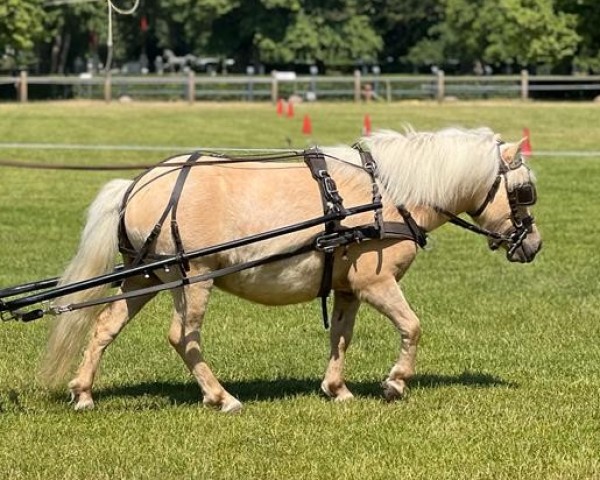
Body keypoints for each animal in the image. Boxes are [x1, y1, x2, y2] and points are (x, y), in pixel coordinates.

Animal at [39, 127, 540, 412]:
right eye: (524, 190)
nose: (533, 245)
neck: (388, 195)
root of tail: (137, 184)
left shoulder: (349, 287)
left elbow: (341, 335)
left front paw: (337, 388)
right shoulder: (375, 282)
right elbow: (413, 327)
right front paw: (395, 384)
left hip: (145, 276)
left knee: (105, 326)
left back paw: (83, 393)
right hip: (192, 276)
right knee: (183, 337)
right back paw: (221, 397)